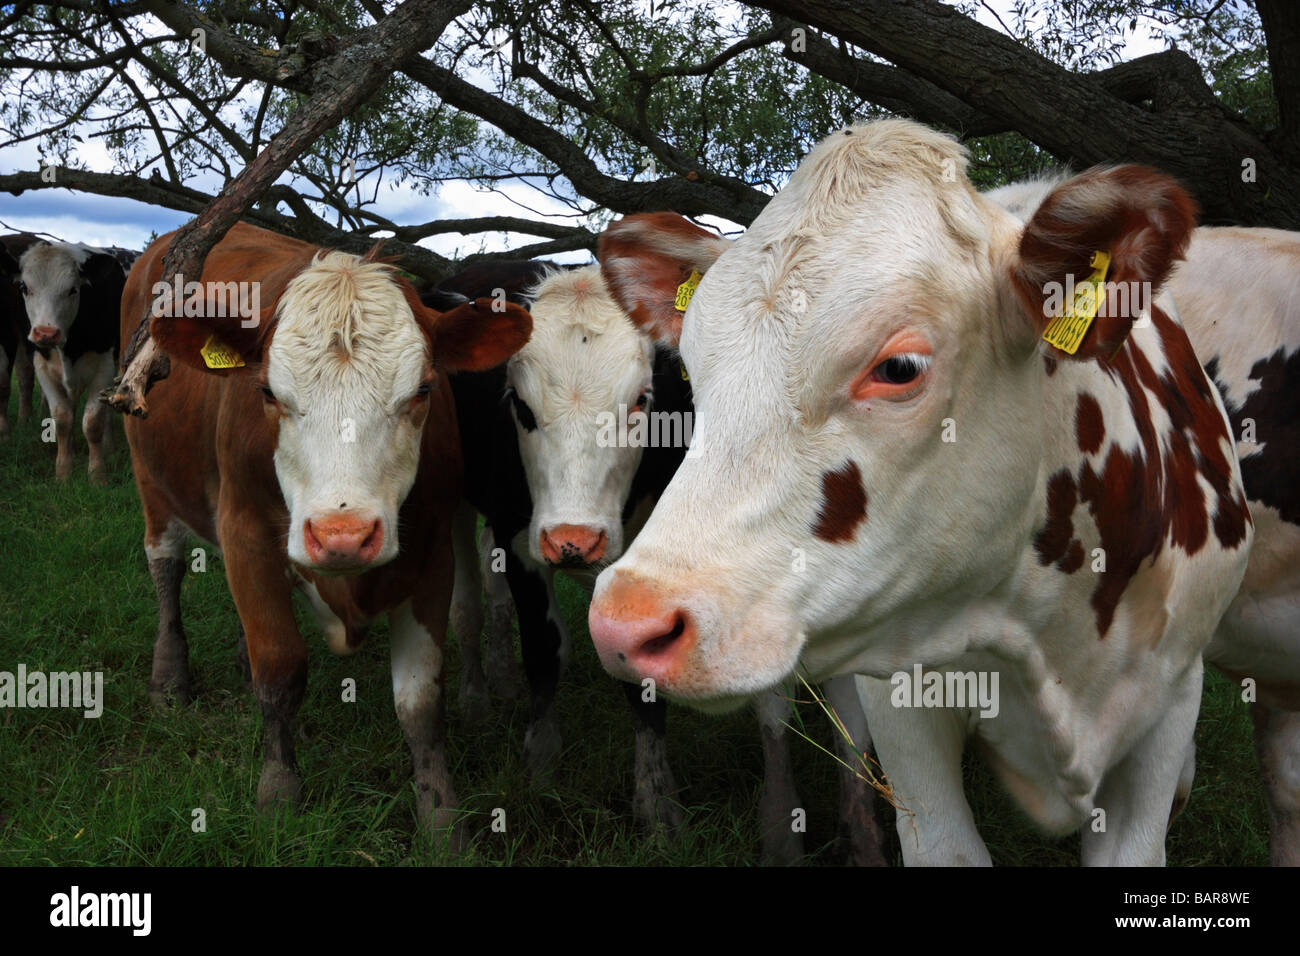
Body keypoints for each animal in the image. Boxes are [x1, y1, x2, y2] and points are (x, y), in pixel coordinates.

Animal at [15, 243, 129, 481]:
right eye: (24, 287)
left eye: (73, 290)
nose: (46, 333)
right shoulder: (42, 367)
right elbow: (62, 419)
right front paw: (63, 472)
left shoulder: (104, 366)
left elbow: (93, 421)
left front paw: (97, 474)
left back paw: (108, 447)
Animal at [119, 221, 530, 832]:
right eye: (268, 392)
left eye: (423, 390)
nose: (343, 536)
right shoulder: (245, 533)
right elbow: (279, 670)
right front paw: (278, 793)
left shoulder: (433, 551)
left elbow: (419, 699)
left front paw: (440, 817)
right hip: (152, 478)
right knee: (165, 567)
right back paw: (170, 678)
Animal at [426, 257, 883, 863]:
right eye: (520, 406)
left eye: (643, 400)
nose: (574, 539)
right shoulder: (522, 539)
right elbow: (545, 650)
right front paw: (540, 762)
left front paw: (658, 807)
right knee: (467, 606)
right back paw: (478, 695)